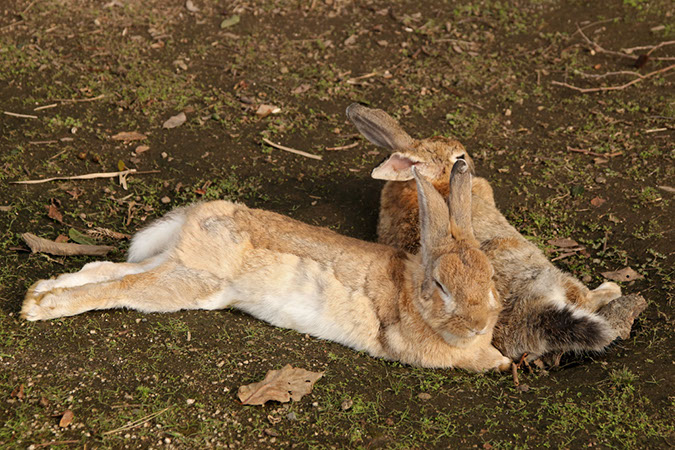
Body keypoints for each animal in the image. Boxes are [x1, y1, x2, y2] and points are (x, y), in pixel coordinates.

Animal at [21, 162, 512, 372]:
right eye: (440, 286)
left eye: (490, 280)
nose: (475, 325)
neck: (410, 294)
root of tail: (203, 214)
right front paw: (501, 362)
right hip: (190, 283)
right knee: (121, 289)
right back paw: (41, 308)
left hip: (178, 268)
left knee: (112, 270)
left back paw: (40, 292)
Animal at [347, 103, 635, 361]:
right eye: (458, 157)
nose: (470, 162)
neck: (431, 182)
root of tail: (529, 318)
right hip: (547, 272)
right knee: (583, 298)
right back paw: (611, 289)